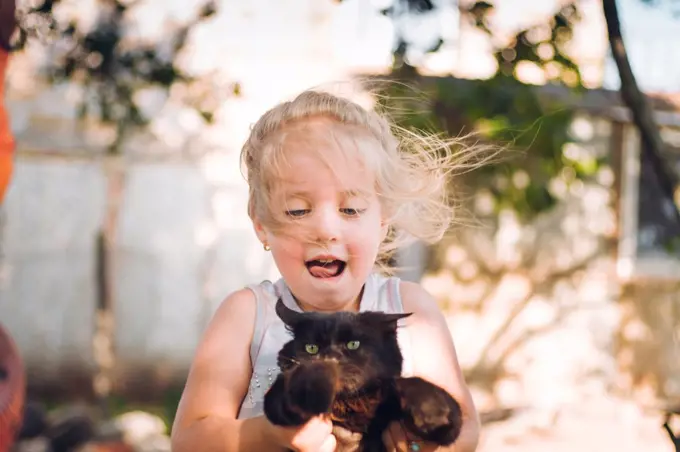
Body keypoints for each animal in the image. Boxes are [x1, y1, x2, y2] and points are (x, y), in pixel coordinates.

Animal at [262, 298, 464, 450]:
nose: (330, 358)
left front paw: (430, 409)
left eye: (353, 344)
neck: (353, 405)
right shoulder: (276, 402)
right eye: (312, 348)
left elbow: (421, 388)